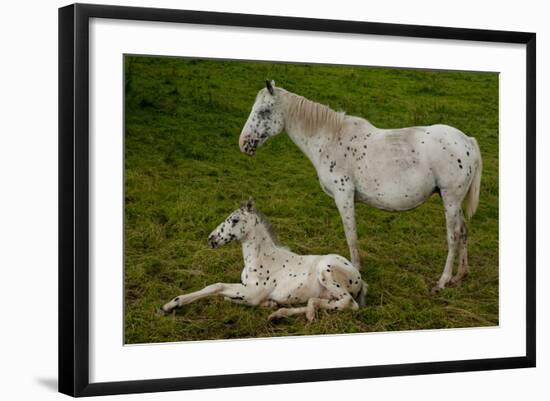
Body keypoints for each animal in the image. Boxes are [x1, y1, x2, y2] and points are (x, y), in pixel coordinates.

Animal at [164, 198, 370, 320]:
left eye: (235, 220)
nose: (211, 239)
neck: (261, 258)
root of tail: (359, 277)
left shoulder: (252, 292)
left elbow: (218, 287)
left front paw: (172, 304)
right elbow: (222, 293)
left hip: (326, 272)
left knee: (348, 303)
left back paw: (306, 312)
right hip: (328, 291)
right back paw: (280, 312)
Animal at [237, 79, 484, 292]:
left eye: (264, 111)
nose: (244, 144)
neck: (330, 139)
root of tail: (467, 141)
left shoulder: (343, 195)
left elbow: (351, 234)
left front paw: (355, 270)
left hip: (450, 199)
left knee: (453, 236)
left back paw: (443, 281)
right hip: (452, 200)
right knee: (463, 231)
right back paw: (460, 276)